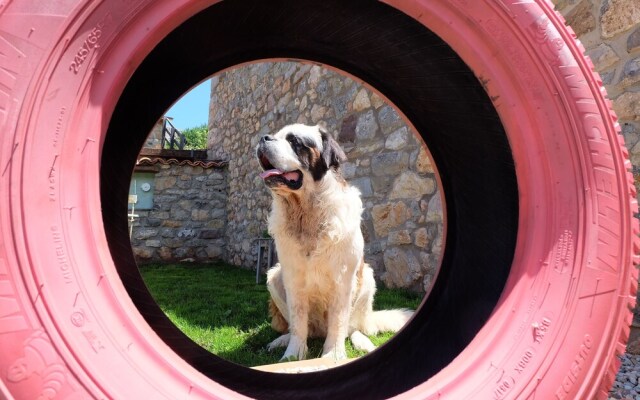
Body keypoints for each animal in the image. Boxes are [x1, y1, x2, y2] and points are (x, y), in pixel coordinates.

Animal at [256, 123, 412, 360]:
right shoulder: (292, 278)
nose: (263, 138)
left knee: (352, 328)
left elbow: (338, 322)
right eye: (275, 135)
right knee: (302, 327)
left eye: (294, 141)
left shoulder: (343, 280)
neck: (306, 213)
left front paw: (333, 356)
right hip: (274, 277)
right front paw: (292, 356)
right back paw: (282, 340)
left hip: (367, 279)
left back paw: (363, 342)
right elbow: (298, 321)